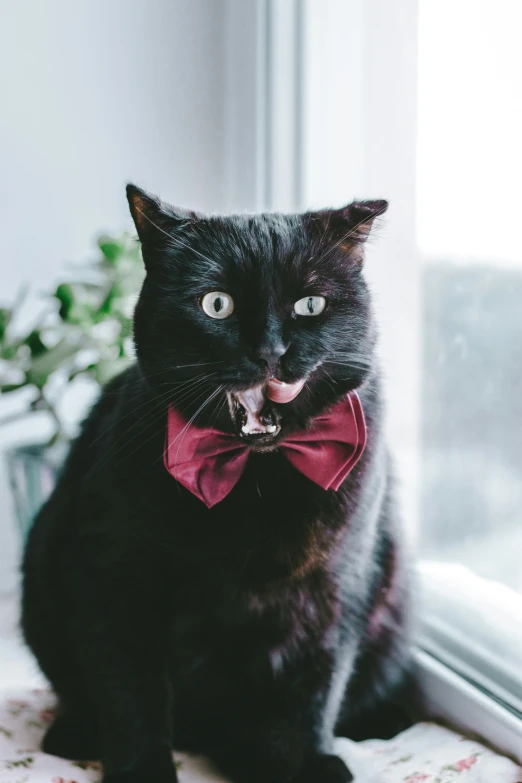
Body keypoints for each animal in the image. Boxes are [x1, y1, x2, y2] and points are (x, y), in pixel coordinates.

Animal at [22, 187, 416, 783]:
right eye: (216, 305)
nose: (272, 352)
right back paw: (76, 733)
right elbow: (129, 693)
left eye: (310, 305)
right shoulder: (114, 580)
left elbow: (314, 690)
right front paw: (141, 770)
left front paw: (303, 762)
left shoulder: (332, 590)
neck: (254, 478)